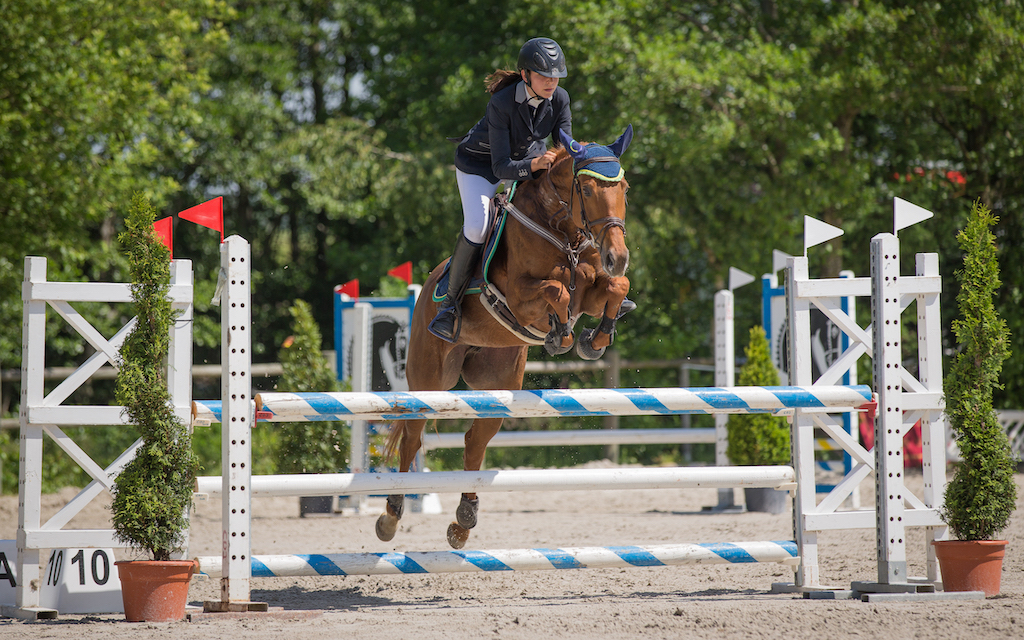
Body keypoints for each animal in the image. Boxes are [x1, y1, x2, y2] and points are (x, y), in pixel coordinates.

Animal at [374, 125, 630, 548]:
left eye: (623, 187)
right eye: (587, 190)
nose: (618, 256)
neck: (563, 234)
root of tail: (426, 288)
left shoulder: (592, 289)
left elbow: (614, 286)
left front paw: (593, 339)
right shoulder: (522, 298)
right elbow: (557, 291)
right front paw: (561, 335)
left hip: (498, 382)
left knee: (475, 440)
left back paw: (463, 520)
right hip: (430, 379)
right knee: (413, 435)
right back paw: (392, 514)